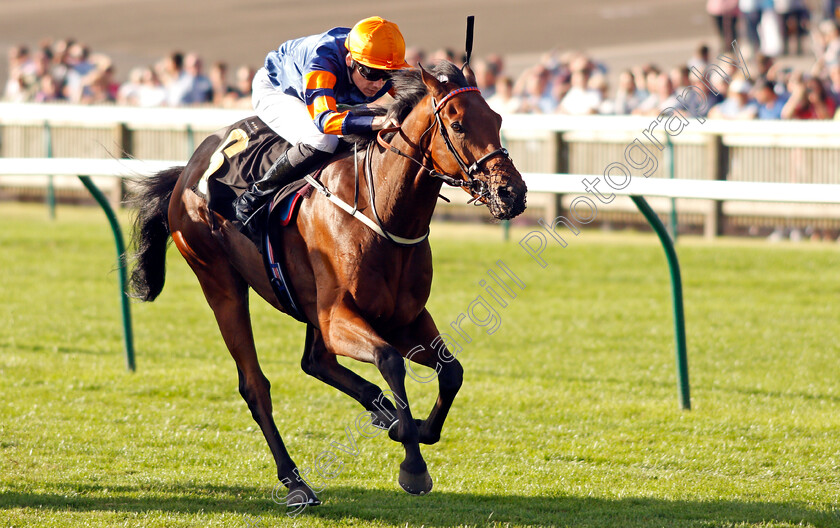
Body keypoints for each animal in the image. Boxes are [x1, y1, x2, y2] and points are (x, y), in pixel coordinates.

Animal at [127, 62, 524, 508]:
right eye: (457, 124)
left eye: (498, 119)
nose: (513, 192)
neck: (382, 212)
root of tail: (188, 169)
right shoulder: (339, 317)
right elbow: (390, 361)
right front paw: (413, 464)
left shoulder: (405, 318)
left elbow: (451, 370)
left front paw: (418, 428)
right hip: (221, 284)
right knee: (256, 385)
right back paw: (296, 481)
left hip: (307, 307)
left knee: (315, 361)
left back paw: (380, 411)